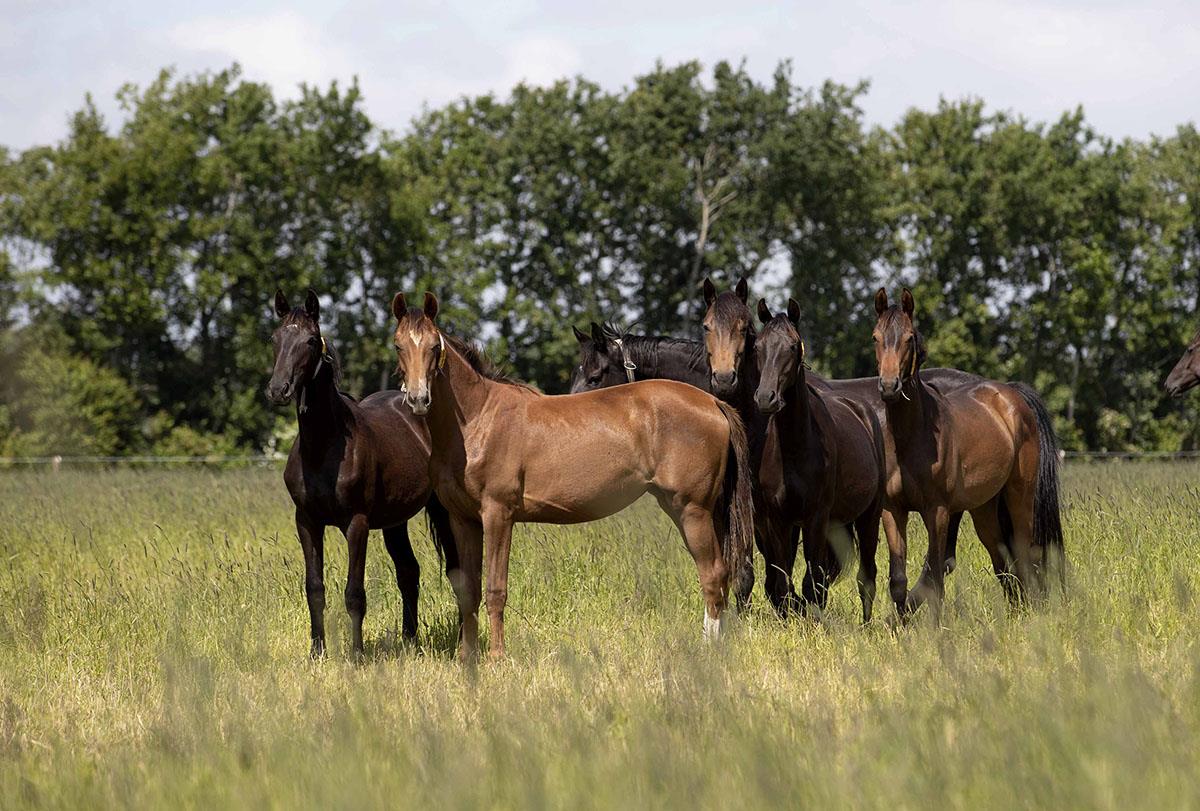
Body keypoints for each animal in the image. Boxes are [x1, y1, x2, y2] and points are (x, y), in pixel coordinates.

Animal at [265, 287, 456, 657]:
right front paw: (317, 653)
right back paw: (409, 641)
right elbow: (314, 588)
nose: (278, 390)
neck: (324, 447)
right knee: (408, 572)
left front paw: (356, 655)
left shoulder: (357, 523)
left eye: (311, 340)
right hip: (395, 521)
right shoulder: (306, 522)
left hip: (440, 508)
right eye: (275, 338)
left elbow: (354, 593)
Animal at [391, 290, 748, 657]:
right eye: (398, 345)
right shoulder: (463, 520)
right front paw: (468, 658)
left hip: (692, 509)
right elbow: (469, 592)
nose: (418, 399)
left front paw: (496, 657)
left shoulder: (498, 515)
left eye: (433, 346)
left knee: (712, 575)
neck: (479, 419)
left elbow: (495, 590)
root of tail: (712, 402)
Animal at [868, 287, 1065, 611]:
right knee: (1004, 562)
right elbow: (898, 582)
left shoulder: (937, 511)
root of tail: (1011, 395)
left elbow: (935, 579)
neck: (912, 439)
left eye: (909, 337)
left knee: (1026, 556)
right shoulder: (893, 511)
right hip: (984, 508)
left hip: (1019, 497)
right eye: (875, 337)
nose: (888, 386)